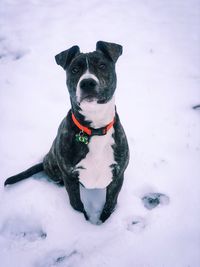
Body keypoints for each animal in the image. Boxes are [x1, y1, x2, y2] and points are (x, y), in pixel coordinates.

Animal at [4, 40, 130, 224]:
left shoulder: (118, 175)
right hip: (54, 166)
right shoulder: (70, 177)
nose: (87, 82)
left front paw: (104, 222)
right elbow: (76, 204)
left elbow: (110, 203)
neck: (94, 128)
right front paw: (82, 221)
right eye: (75, 70)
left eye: (102, 65)